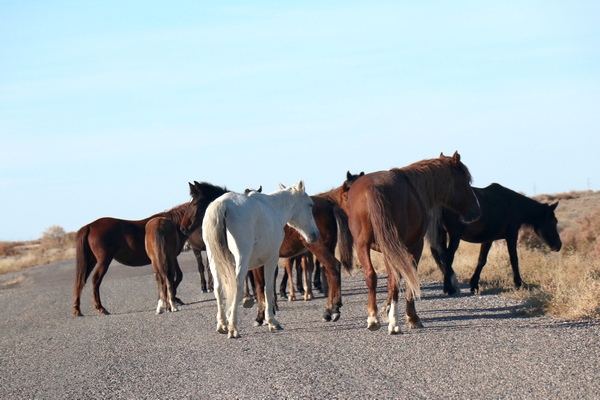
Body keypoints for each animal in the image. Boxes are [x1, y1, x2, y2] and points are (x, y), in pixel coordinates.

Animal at [202, 180, 322, 338]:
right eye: (310, 205)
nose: (315, 235)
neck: (273, 209)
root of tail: (223, 204)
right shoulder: (271, 259)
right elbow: (268, 289)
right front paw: (271, 321)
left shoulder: (257, 264)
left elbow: (259, 288)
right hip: (241, 259)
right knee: (237, 287)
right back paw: (233, 328)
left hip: (214, 260)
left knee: (218, 288)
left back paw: (222, 325)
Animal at [340, 153, 480, 334]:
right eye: (466, 180)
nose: (476, 211)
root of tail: (373, 189)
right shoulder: (414, 245)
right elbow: (409, 276)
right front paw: (411, 317)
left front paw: (385, 310)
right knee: (393, 280)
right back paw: (394, 324)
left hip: (363, 245)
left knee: (371, 276)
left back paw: (373, 319)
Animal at [432, 184, 564, 294]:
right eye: (554, 222)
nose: (558, 245)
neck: (514, 205)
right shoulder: (511, 236)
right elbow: (514, 259)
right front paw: (518, 283)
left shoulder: (488, 239)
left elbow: (481, 260)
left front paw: (474, 285)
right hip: (454, 235)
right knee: (448, 257)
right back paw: (449, 288)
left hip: (442, 233)